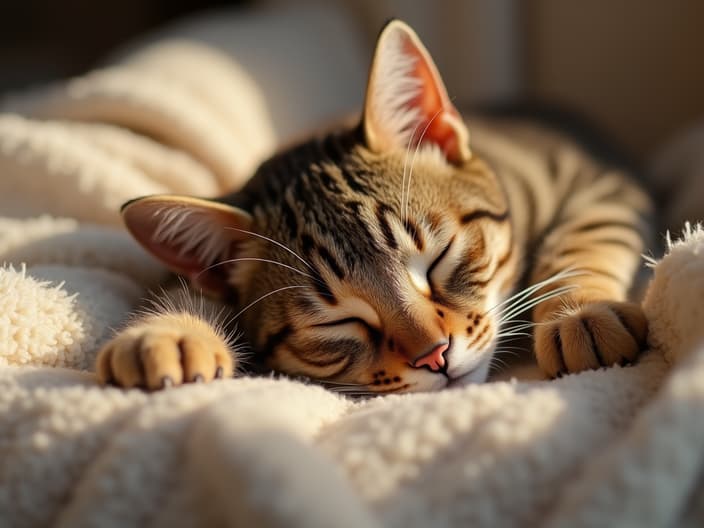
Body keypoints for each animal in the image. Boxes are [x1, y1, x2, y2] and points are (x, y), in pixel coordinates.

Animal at [96, 19, 652, 392]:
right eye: (336, 322)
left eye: (440, 257)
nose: (435, 356)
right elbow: (181, 287)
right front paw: (165, 334)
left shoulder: (602, 185)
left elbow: (582, 241)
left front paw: (579, 314)